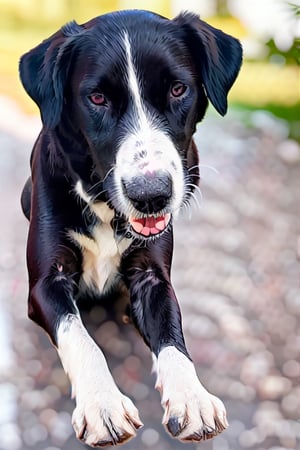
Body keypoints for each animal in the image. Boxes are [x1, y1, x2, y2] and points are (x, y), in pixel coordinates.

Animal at [19, 9, 241, 446]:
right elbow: (79, 337)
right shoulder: (47, 282)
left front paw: (192, 396)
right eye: (97, 98)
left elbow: (171, 331)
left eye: (178, 89)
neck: (105, 203)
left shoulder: (152, 275)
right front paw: (101, 403)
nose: (151, 196)